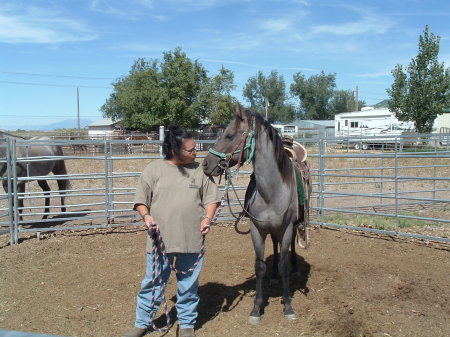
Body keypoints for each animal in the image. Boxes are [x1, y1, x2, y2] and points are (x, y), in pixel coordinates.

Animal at [203, 104, 310, 322]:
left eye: (229, 135)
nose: (206, 164)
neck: (271, 191)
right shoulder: (256, 230)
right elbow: (260, 267)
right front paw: (256, 309)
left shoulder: (286, 228)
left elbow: (285, 265)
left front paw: (288, 306)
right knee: (275, 246)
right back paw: (274, 277)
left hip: (294, 226)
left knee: (290, 249)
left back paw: (295, 269)